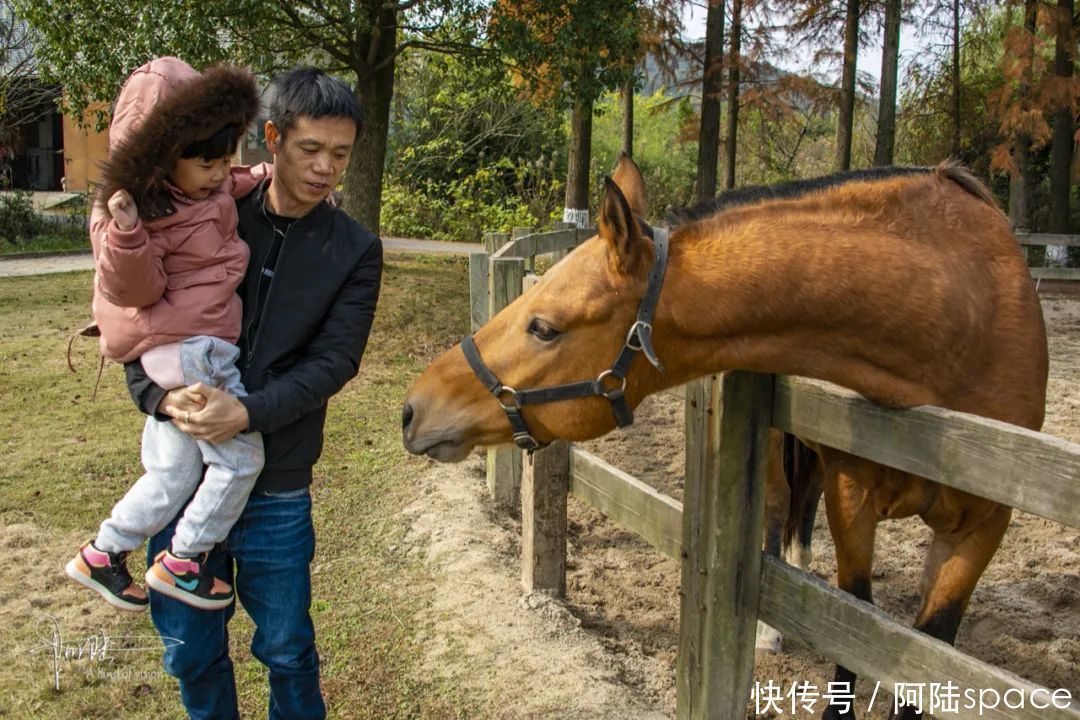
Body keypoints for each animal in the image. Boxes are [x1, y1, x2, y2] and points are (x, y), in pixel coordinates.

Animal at [402, 155, 1048, 720]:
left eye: (543, 327)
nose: (413, 409)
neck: (955, 323)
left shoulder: (982, 527)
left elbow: (924, 656)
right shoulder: (854, 496)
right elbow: (856, 628)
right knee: (779, 515)